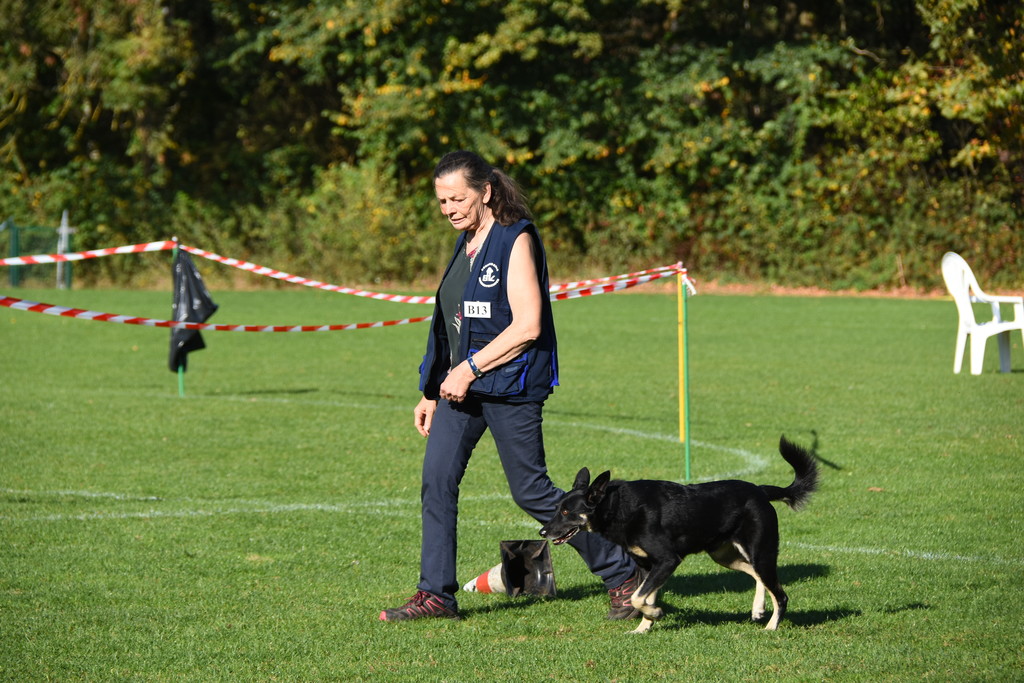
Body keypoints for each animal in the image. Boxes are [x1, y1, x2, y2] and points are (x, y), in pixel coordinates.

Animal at [539, 436, 818, 634]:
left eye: (566, 511)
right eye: (556, 508)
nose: (542, 531)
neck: (617, 506)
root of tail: (760, 491)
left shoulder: (667, 560)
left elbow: (639, 597)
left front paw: (655, 613)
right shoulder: (648, 565)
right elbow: (643, 595)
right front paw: (643, 627)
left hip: (761, 551)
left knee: (780, 593)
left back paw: (771, 626)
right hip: (724, 555)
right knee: (757, 576)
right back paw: (758, 609)